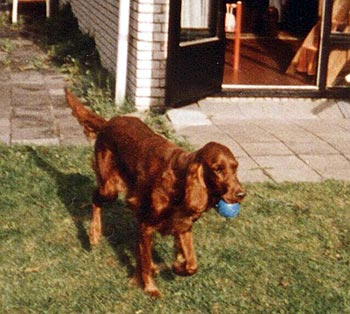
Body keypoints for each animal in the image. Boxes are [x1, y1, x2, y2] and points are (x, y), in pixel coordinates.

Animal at [64, 89, 245, 296]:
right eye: (217, 169)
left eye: (235, 167)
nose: (241, 194)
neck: (181, 181)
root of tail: (108, 123)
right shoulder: (147, 225)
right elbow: (146, 258)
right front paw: (150, 288)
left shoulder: (183, 225)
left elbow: (192, 264)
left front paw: (177, 265)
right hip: (110, 188)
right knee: (95, 198)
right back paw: (94, 233)